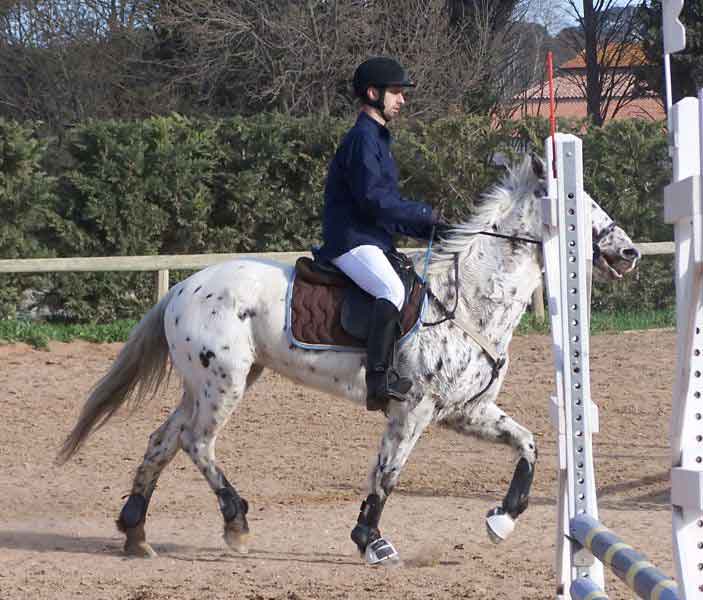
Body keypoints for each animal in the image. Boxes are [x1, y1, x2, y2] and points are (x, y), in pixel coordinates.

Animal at [59, 155, 644, 564]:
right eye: (577, 202)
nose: (629, 252)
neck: (469, 299)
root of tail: (183, 286)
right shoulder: (412, 411)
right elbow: (387, 475)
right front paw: (371, 541)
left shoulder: (464, 412)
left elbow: (529, 444)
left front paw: (502, 519)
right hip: (223, 385)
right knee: (196, 443)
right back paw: (235, 523)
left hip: (208, 384)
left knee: (163, 440)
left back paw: (135, 532)